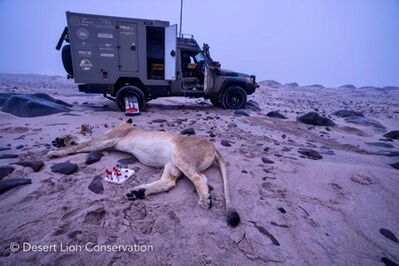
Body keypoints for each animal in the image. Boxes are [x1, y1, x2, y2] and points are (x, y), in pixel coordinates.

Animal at [47, 119, 241, 225]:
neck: (126, 125)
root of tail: (213, 145)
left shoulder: (109, 138)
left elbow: (84, 144)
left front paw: (56, 151)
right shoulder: (107, 140)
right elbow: (84, 140)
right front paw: (62, 140)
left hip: (181, 156)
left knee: (199, 177)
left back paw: (205, 199)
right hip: (172, 163)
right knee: (169, 182)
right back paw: (137, 192)